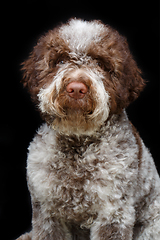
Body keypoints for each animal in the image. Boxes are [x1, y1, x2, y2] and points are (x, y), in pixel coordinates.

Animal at [17, 18, 160, 240]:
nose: (76, 88)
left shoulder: (114, 213)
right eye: (60, 61)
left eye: (100, 64)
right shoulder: (47, 213)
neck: (77, 146)